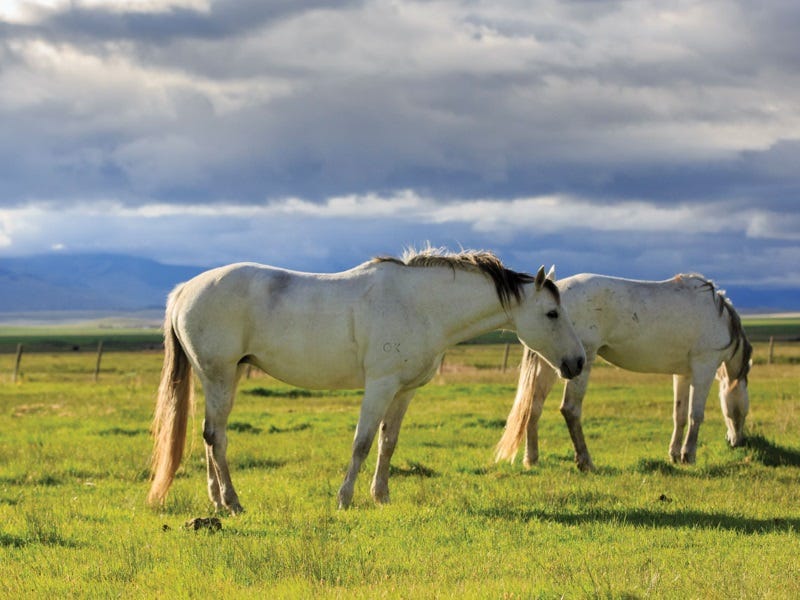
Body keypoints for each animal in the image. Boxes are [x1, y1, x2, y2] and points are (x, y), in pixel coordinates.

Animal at [148, 248, 586, 514]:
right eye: (552, 314)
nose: (578, 361)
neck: (420, 305)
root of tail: (185, 290)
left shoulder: (403, 391)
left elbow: (387, 443)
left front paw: (381, 497)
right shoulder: (380, 385)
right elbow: (362, 441)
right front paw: (344, 499)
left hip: (226, 375)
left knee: (210, 436)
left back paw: (217, 502)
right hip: (219, 375)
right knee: (217, 437)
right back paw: (233, 503)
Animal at [495, 271, 752, 471]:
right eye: (742, 410)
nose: (737, 442)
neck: (717, 316)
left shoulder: (683, 374)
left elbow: (679, 415)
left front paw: (674, 454)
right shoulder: (704, 368)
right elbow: (695, 415)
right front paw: (688, 455)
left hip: (553, 364)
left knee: (534, 407)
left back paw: (532, 459)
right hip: (581, 363)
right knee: (570, 409)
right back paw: (585, 461)